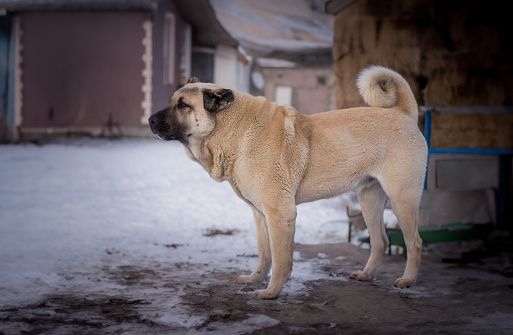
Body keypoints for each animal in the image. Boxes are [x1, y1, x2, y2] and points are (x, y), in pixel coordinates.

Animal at [149, 65, 428, 300]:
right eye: (173, 101)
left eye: (183, 105)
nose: (151, 120)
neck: (233, 132)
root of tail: (403, 112)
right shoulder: (260, 214)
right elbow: (265, 254)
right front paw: (254, 279)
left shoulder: (279, 214)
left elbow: (281, 260)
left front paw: (271, 292)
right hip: (369, 199)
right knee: (380, 241)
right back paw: (366, 275)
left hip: (402, 199)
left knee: (414, 243)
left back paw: (407, 281)